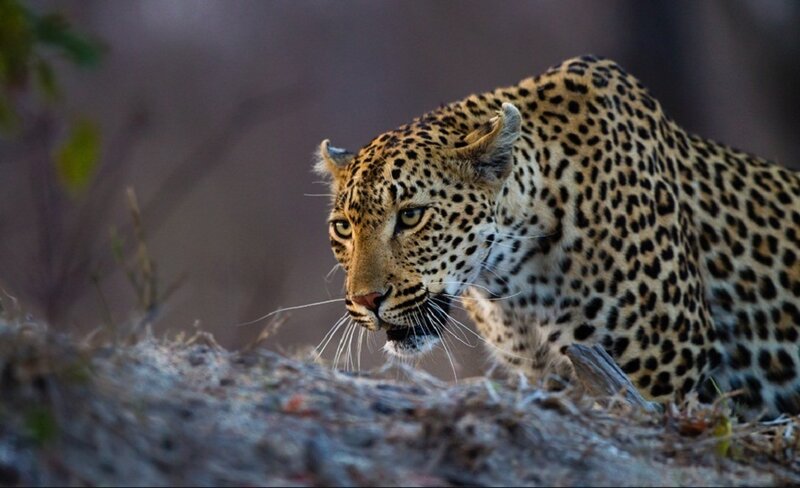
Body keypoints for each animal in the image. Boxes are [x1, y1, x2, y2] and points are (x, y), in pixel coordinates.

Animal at [314, 55, 800, 418]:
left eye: (412, 216)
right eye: (343, 228)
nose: (366, 301)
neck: (512, 283)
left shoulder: (663, 373)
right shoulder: (549, 377)